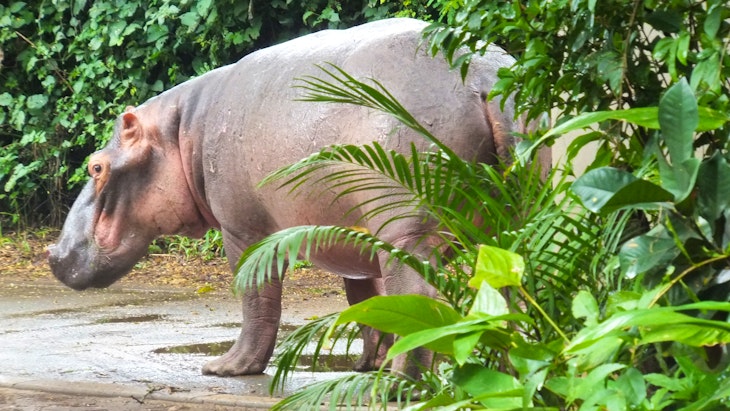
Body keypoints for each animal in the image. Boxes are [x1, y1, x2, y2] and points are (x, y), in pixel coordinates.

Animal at [47, 18, 539, 377]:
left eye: (96, 167)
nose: (53, 253)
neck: (180, 132)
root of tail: (483, 73)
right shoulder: (355, 245)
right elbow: (366, 301)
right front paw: (368, 365)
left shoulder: (243, 230)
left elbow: (256, 296)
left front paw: (226, 368)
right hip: (515, 223)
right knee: (516, 288)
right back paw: (511, 368)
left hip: (405, 228)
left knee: (417, 293)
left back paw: (403, 382)